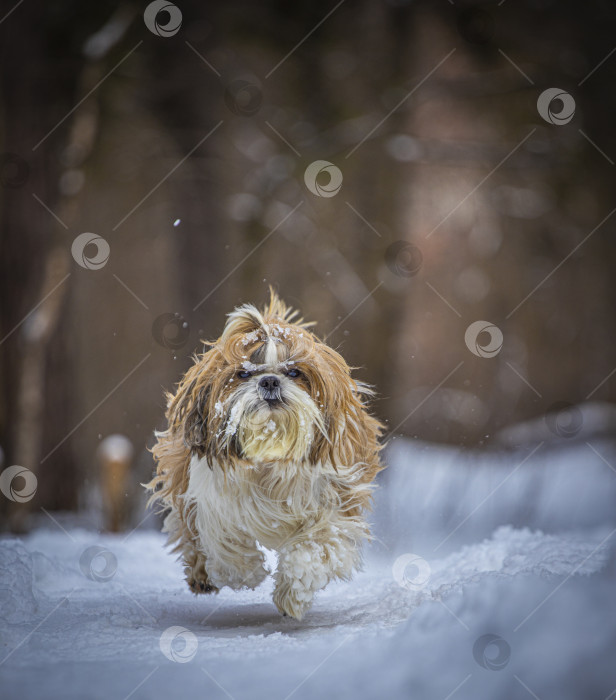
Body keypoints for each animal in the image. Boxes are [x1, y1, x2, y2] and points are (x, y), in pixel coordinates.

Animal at [146, 290, 382, 616]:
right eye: (243, 373)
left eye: (294, 372)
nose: (269, 380)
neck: (270, 455)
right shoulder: (210, 496)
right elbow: (222, 537)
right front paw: (243, 572)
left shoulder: (335, 499)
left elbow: (316, 544)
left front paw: (292, 592)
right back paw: (201, 576)